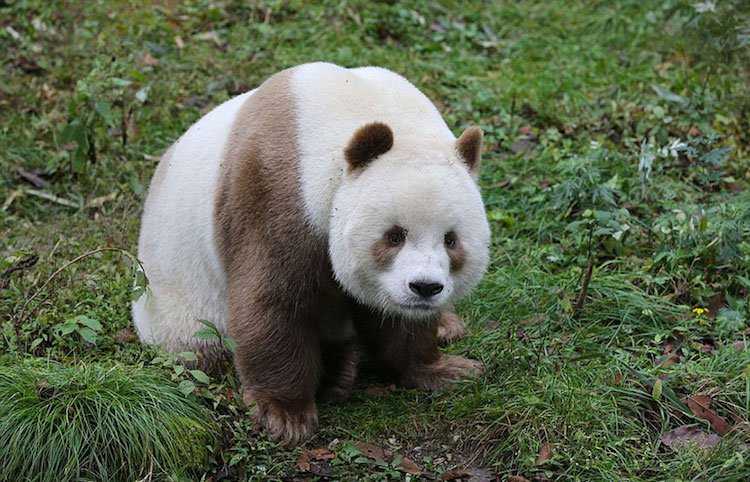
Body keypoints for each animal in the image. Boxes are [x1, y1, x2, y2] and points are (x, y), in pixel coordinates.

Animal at [134, 62, 494, 442]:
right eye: (394, 236)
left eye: (450, 240)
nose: (425, 288)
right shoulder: (277, 191)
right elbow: (274, 301)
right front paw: (285, 415)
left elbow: (398, 322)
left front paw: (447, 369)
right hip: (180, 303)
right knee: (199, 344)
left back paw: (445, 326)